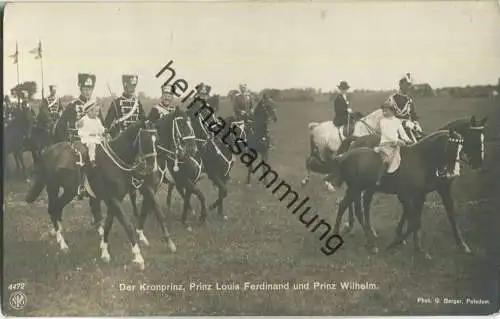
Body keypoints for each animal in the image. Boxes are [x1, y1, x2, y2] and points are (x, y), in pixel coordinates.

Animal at [24, 120, 158, 270]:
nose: (153, 167)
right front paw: (138, 257)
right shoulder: (112, 199)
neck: (114, 162)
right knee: (52, 209)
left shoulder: (114, 200)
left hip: (69, 191)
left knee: (57, 208)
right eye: (146, 140)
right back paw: (62, 243)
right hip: (53, 188)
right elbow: (127, 225)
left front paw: (105, 252)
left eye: (156, 140)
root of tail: (48, 152)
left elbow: (108, 224)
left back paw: (57, 232)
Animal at [328, 130, 464, 260]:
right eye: (453, 147)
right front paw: (394, 243)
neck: (419, 159)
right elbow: (414, 222)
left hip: (359, 189)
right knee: (346, 206)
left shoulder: (420, 195)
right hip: (355, 189)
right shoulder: (405, 195)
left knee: (355, 206)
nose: (454, 173)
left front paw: (416, 247)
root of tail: (344, 156)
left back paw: (369, 239)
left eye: (461, 148)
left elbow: (415, 221)